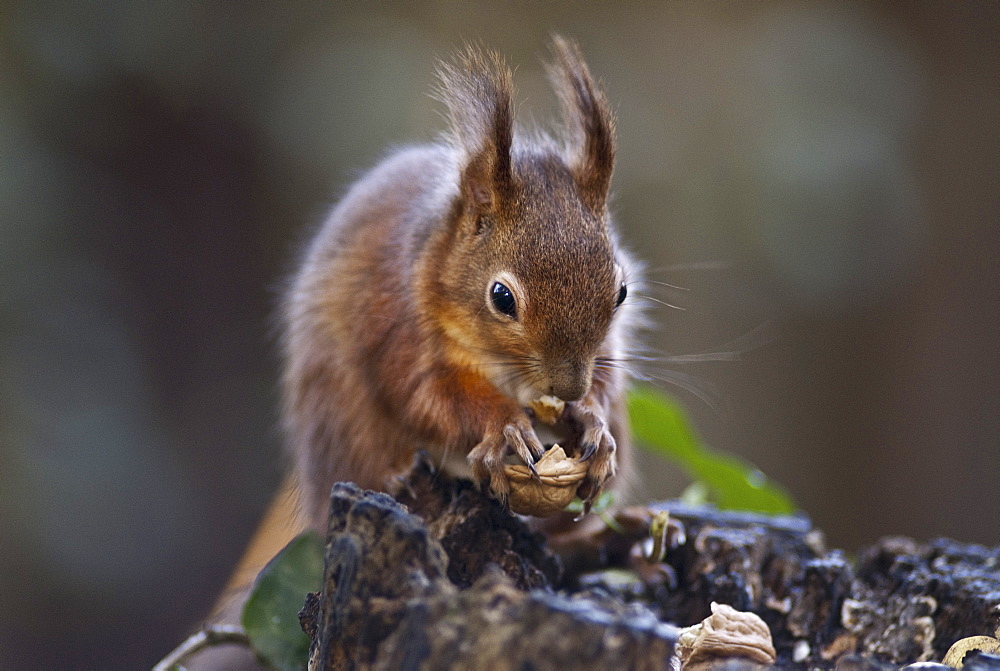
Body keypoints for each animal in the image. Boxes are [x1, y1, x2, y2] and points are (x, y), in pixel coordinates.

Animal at [282, 36, 640, 532]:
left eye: (621, 291)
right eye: (501, 297)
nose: (568, 389)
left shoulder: (605, 351)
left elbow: (607, 373)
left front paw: (592, 420)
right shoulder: (396, 322)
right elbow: (426, 396)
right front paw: (504, 425)